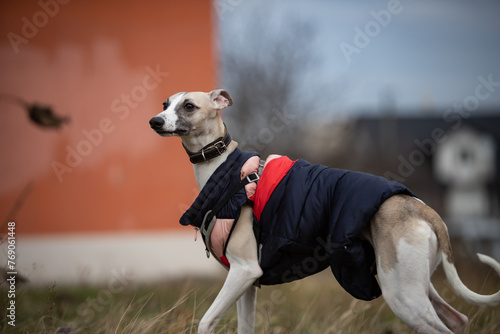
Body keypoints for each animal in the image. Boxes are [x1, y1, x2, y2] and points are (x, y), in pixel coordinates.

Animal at [149, 89, 500, 334]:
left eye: (189, 106)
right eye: (166, 103)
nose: (155, 121)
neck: (227, 171)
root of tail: (421, 208)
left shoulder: (244, 271)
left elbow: (205, 323)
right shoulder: (246, 284)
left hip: (404, 297)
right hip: (415, 284)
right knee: (458, 319)